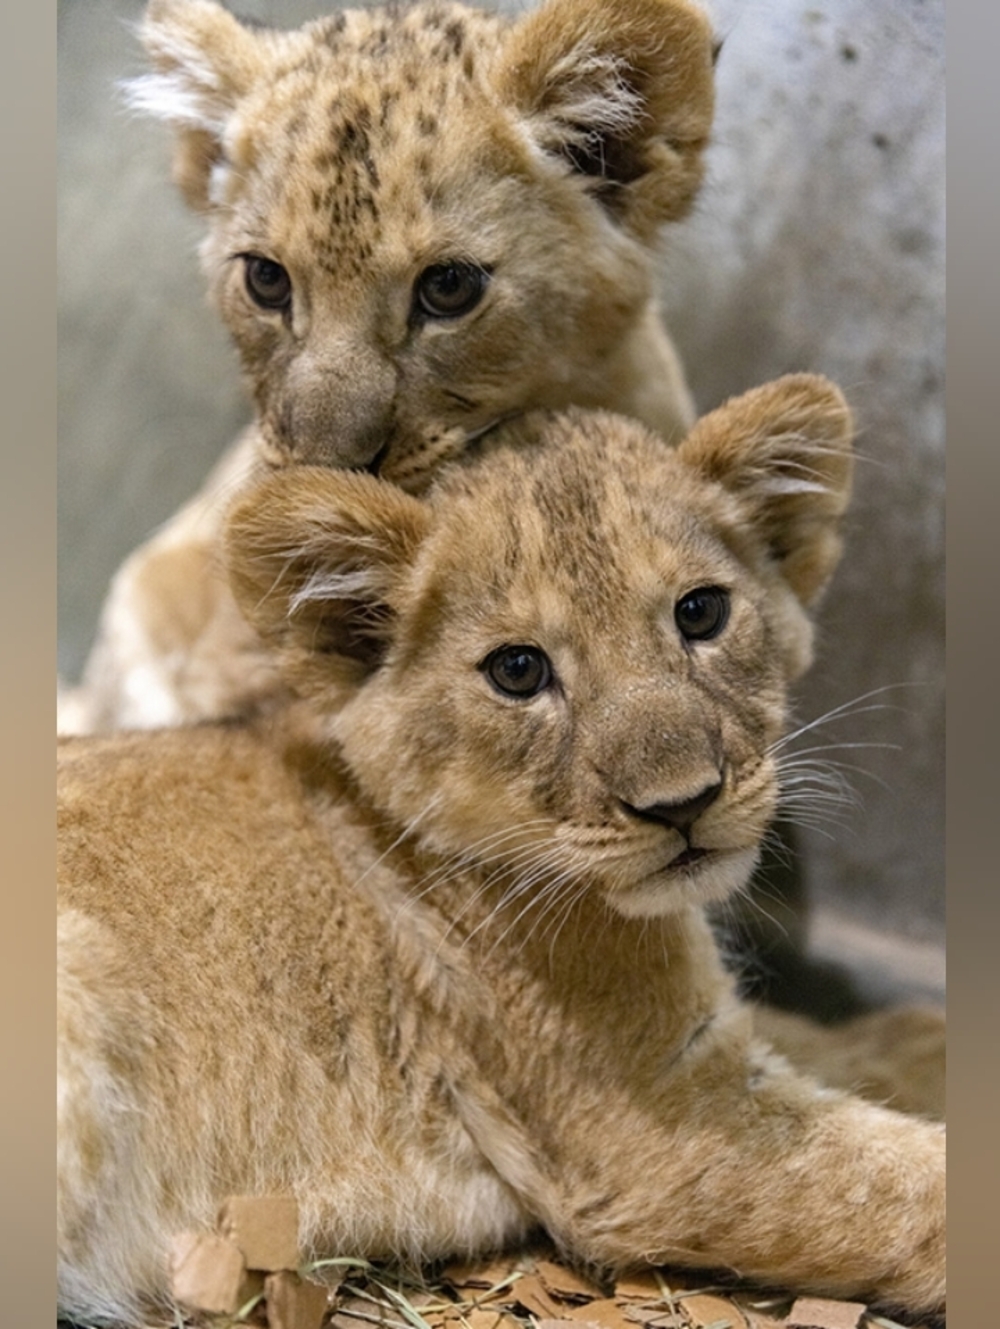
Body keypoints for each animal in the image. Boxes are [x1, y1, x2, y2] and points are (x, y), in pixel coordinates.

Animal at [58, 377, 944, 1327]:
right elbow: (909, 1189)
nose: (684, 804)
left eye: (701, 612)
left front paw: (925, 1032)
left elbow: (830, 1040)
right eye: (518, 671)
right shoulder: (665, 1127)